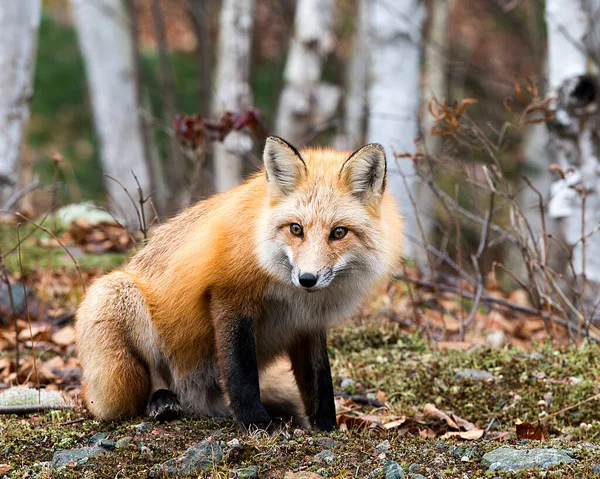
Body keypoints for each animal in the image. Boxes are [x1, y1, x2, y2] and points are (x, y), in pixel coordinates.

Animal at [76, 138, 404, 432]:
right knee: (151, 377)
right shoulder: (228, 296)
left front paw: (327, 429)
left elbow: (320, 382)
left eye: (338, 233)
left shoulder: (308, 323)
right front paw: (256, 423)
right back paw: (161, 401)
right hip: (118, 293)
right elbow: (240, 372)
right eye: (296, 229)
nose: (307, 279)